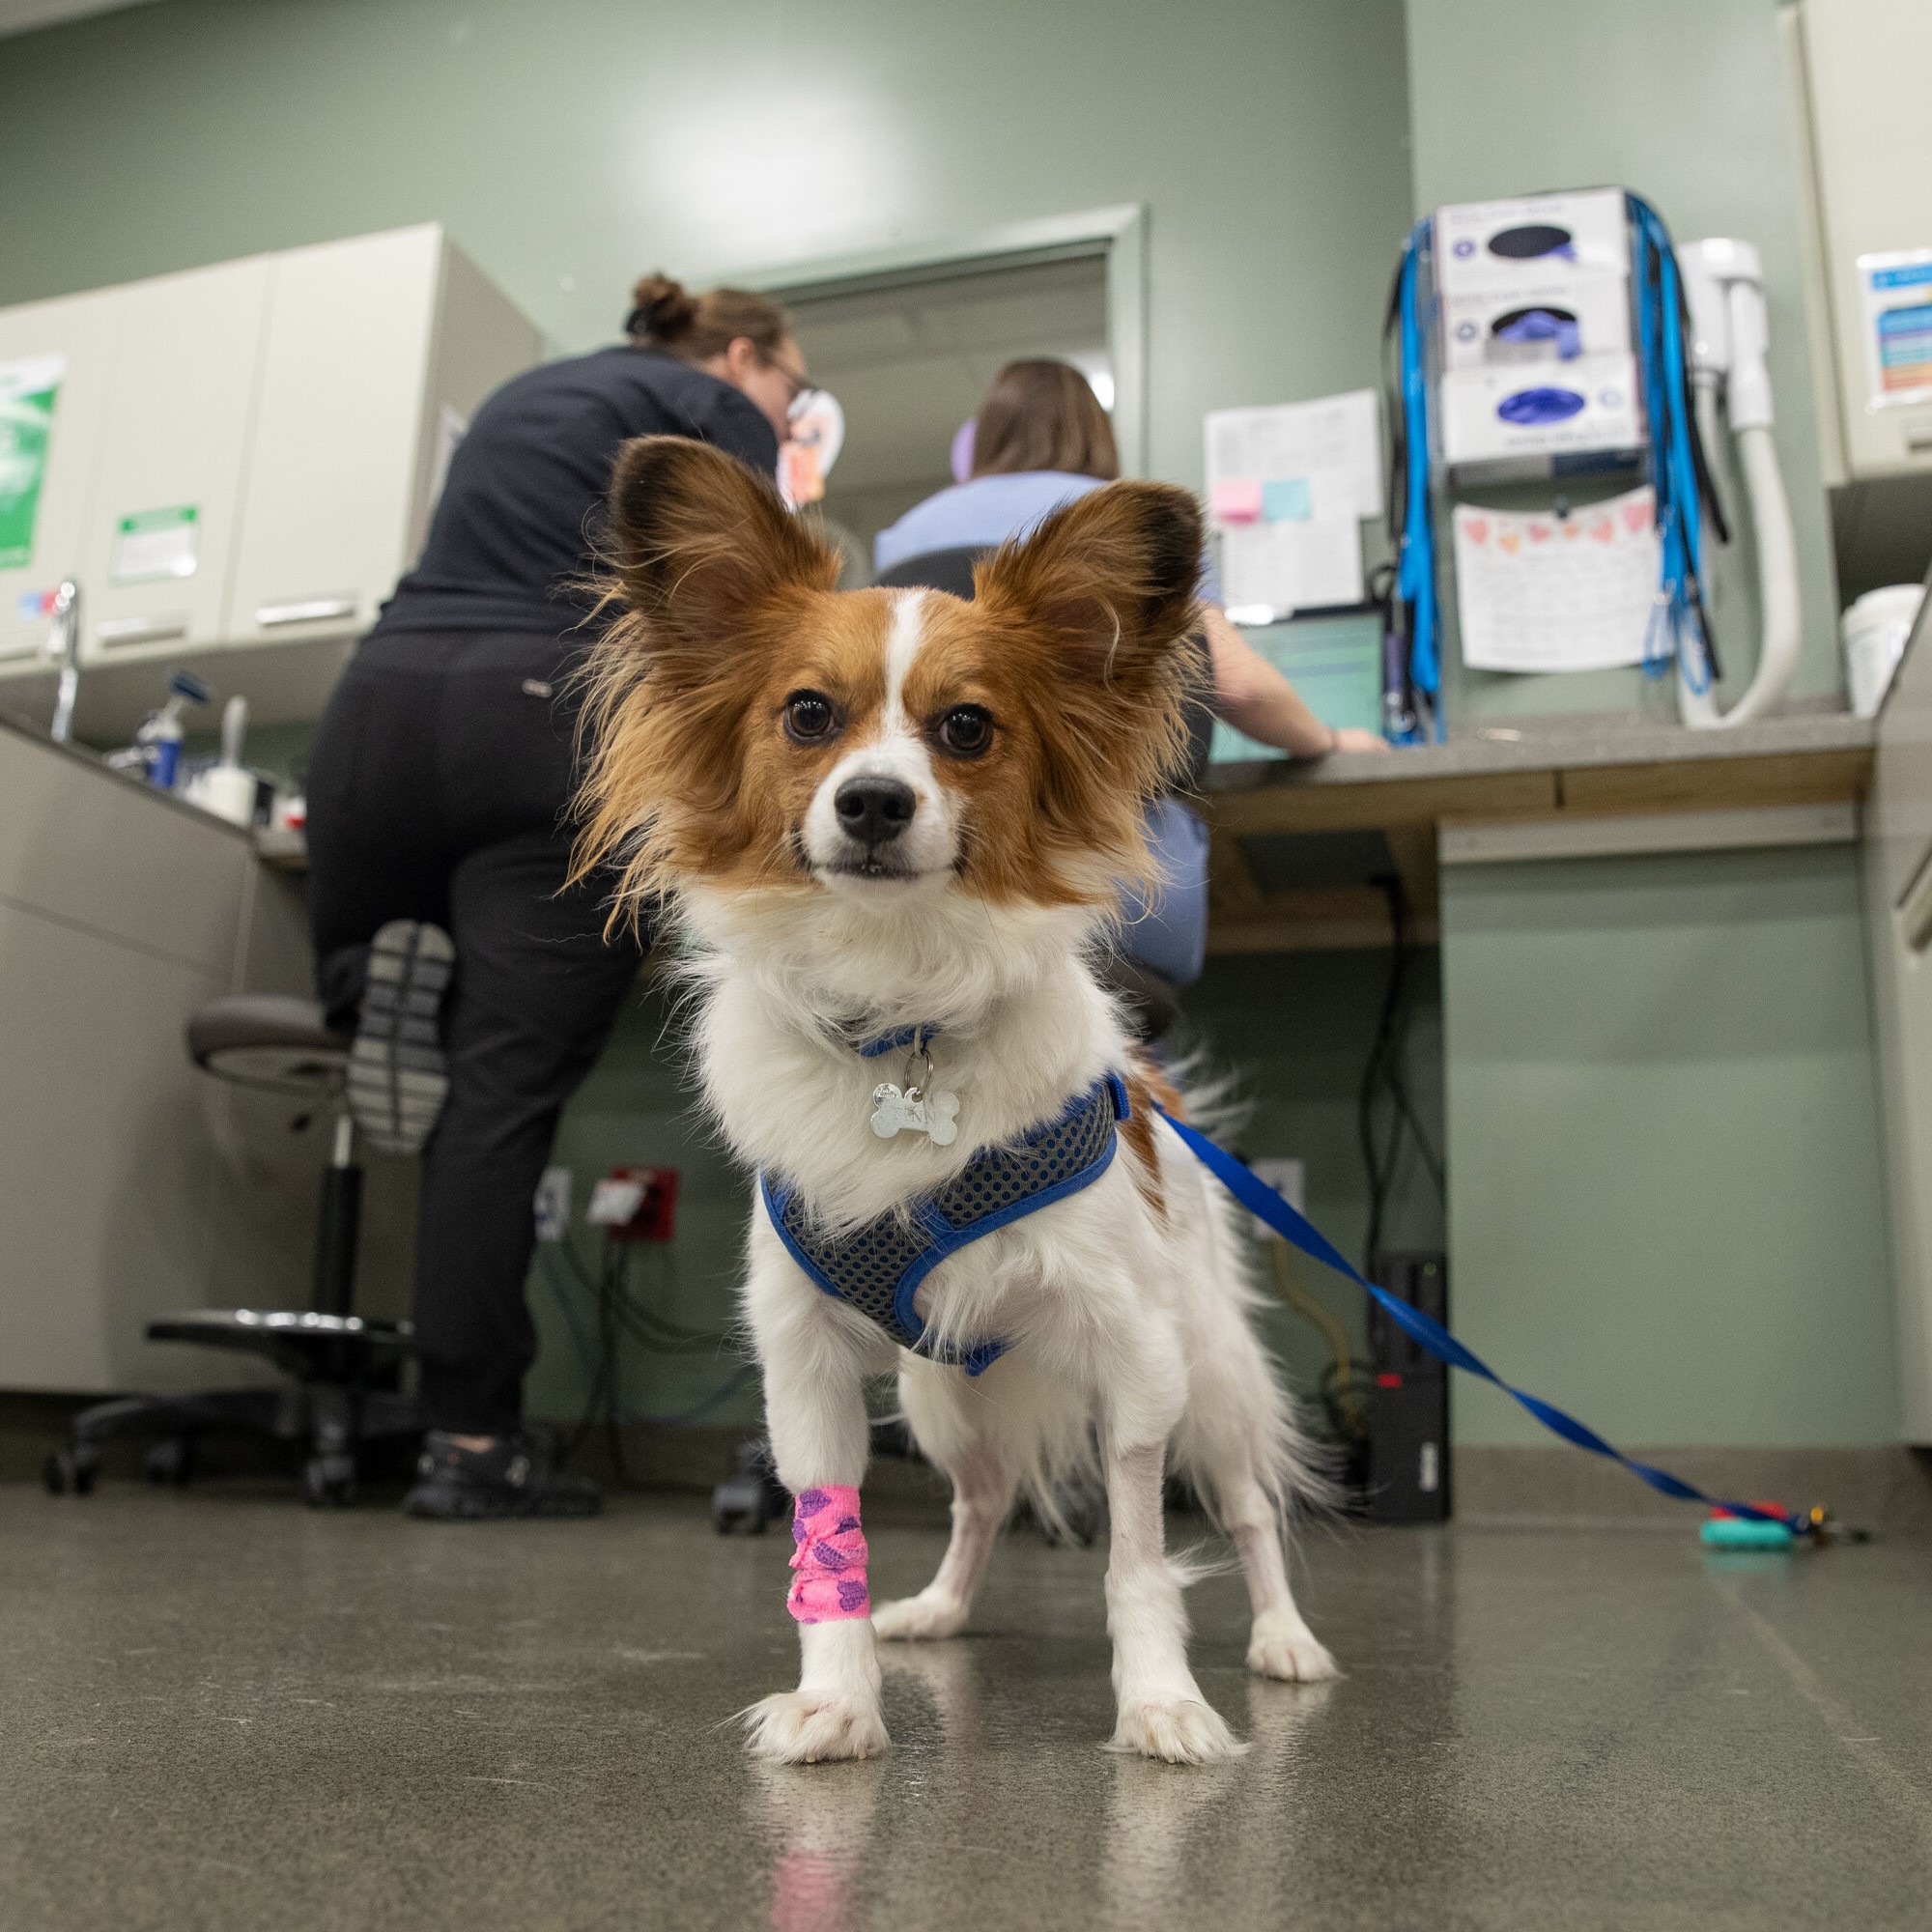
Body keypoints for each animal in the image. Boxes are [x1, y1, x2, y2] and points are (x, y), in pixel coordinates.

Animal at [573, 436, 1336, 1766]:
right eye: (808, 716)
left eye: (966, 727)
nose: (874, 801)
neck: (904, 1012)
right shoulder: (806, 1364)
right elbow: (824, 1540)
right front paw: (837, 1696)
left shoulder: (1133, 1358)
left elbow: (1140, 1554)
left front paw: (1159, 1700)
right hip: (939, 1397)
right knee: (979, 1500)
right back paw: (936, 1608)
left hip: (1211, 1373)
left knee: (1245, 1511)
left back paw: (1281, 1639)